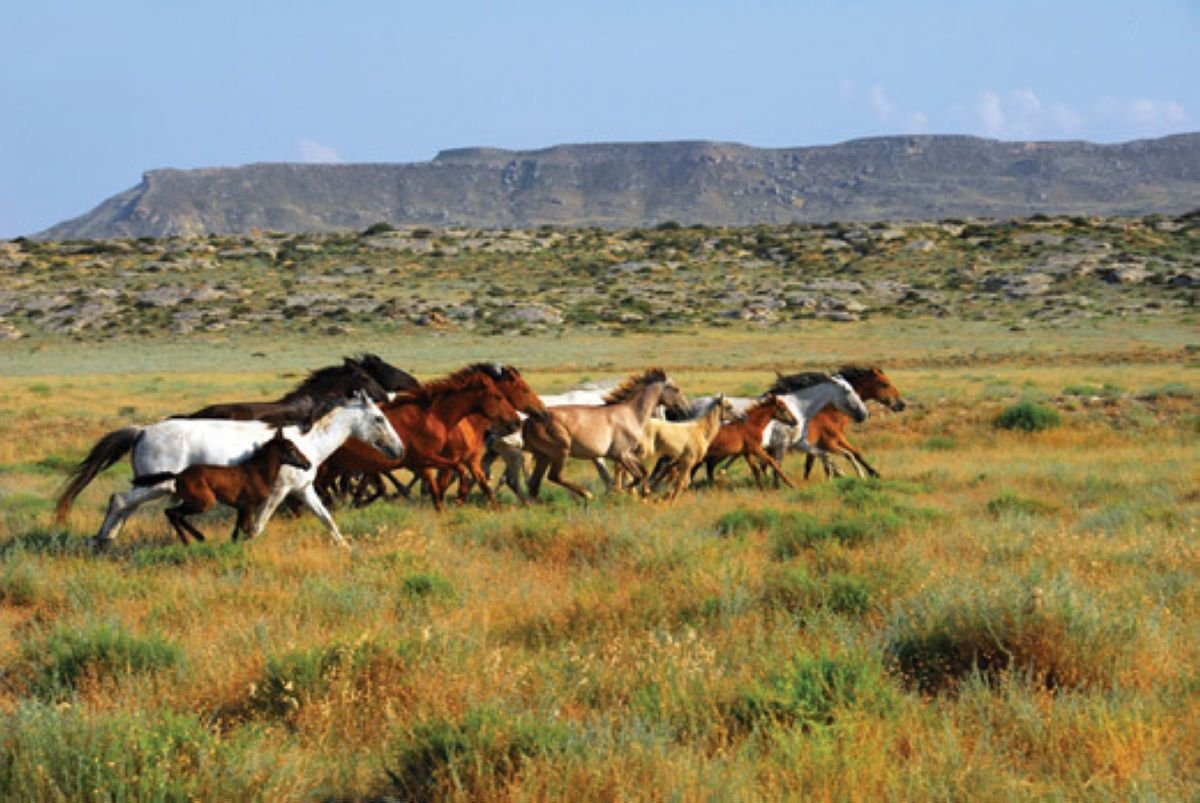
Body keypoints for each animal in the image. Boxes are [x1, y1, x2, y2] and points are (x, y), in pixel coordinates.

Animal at [55, 391, 403, 547]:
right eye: (379, 418)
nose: (398, 450)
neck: (305, 443)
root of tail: (141, 431)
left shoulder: (303, 490)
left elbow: (327, 519)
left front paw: (345, 547)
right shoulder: (278, 492)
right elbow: (258, 524)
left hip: (150, 485)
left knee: (124, 506)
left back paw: (108, 540)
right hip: (157, 485)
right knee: (119, 501)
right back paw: (103, 542)